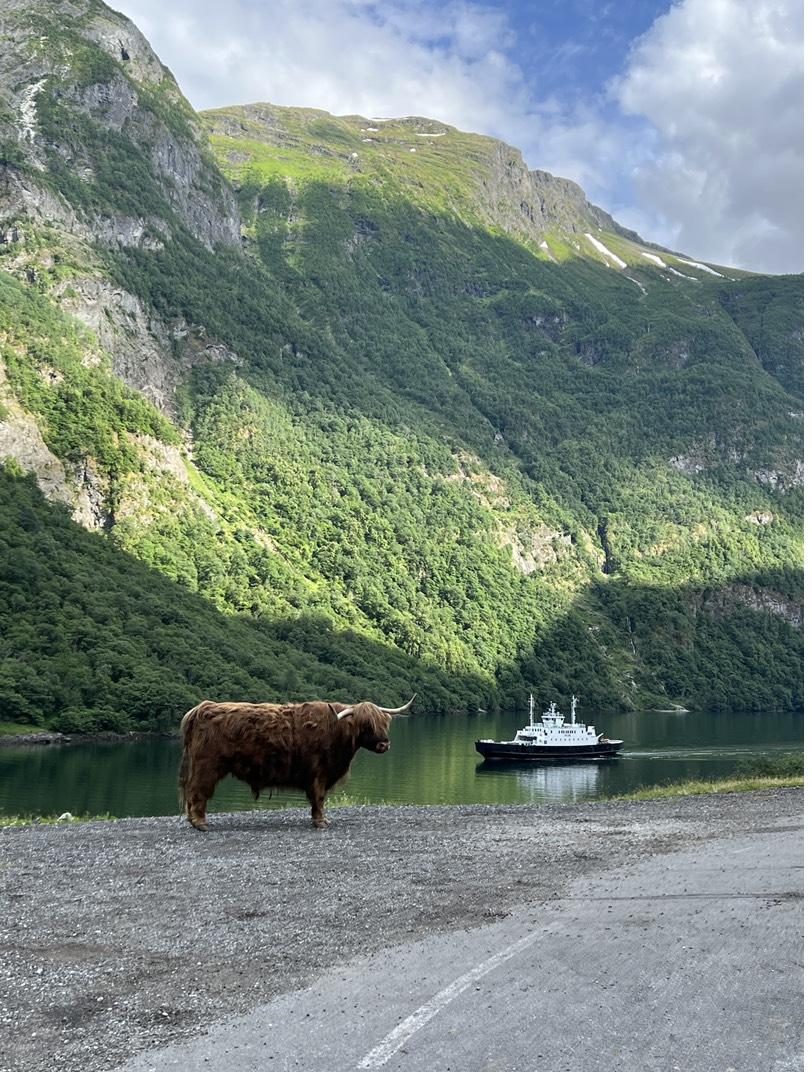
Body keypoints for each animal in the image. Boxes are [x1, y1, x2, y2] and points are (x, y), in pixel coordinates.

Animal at [178, 695, 416, 831]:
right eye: (366, 725)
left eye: (385, 723)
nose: (384, 744)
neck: (337, 732)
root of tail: (201, 709)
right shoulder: (319, 772)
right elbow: (319, 798)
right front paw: (321, 822)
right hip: (206, 766)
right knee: (198, 792)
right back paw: (200, 824)